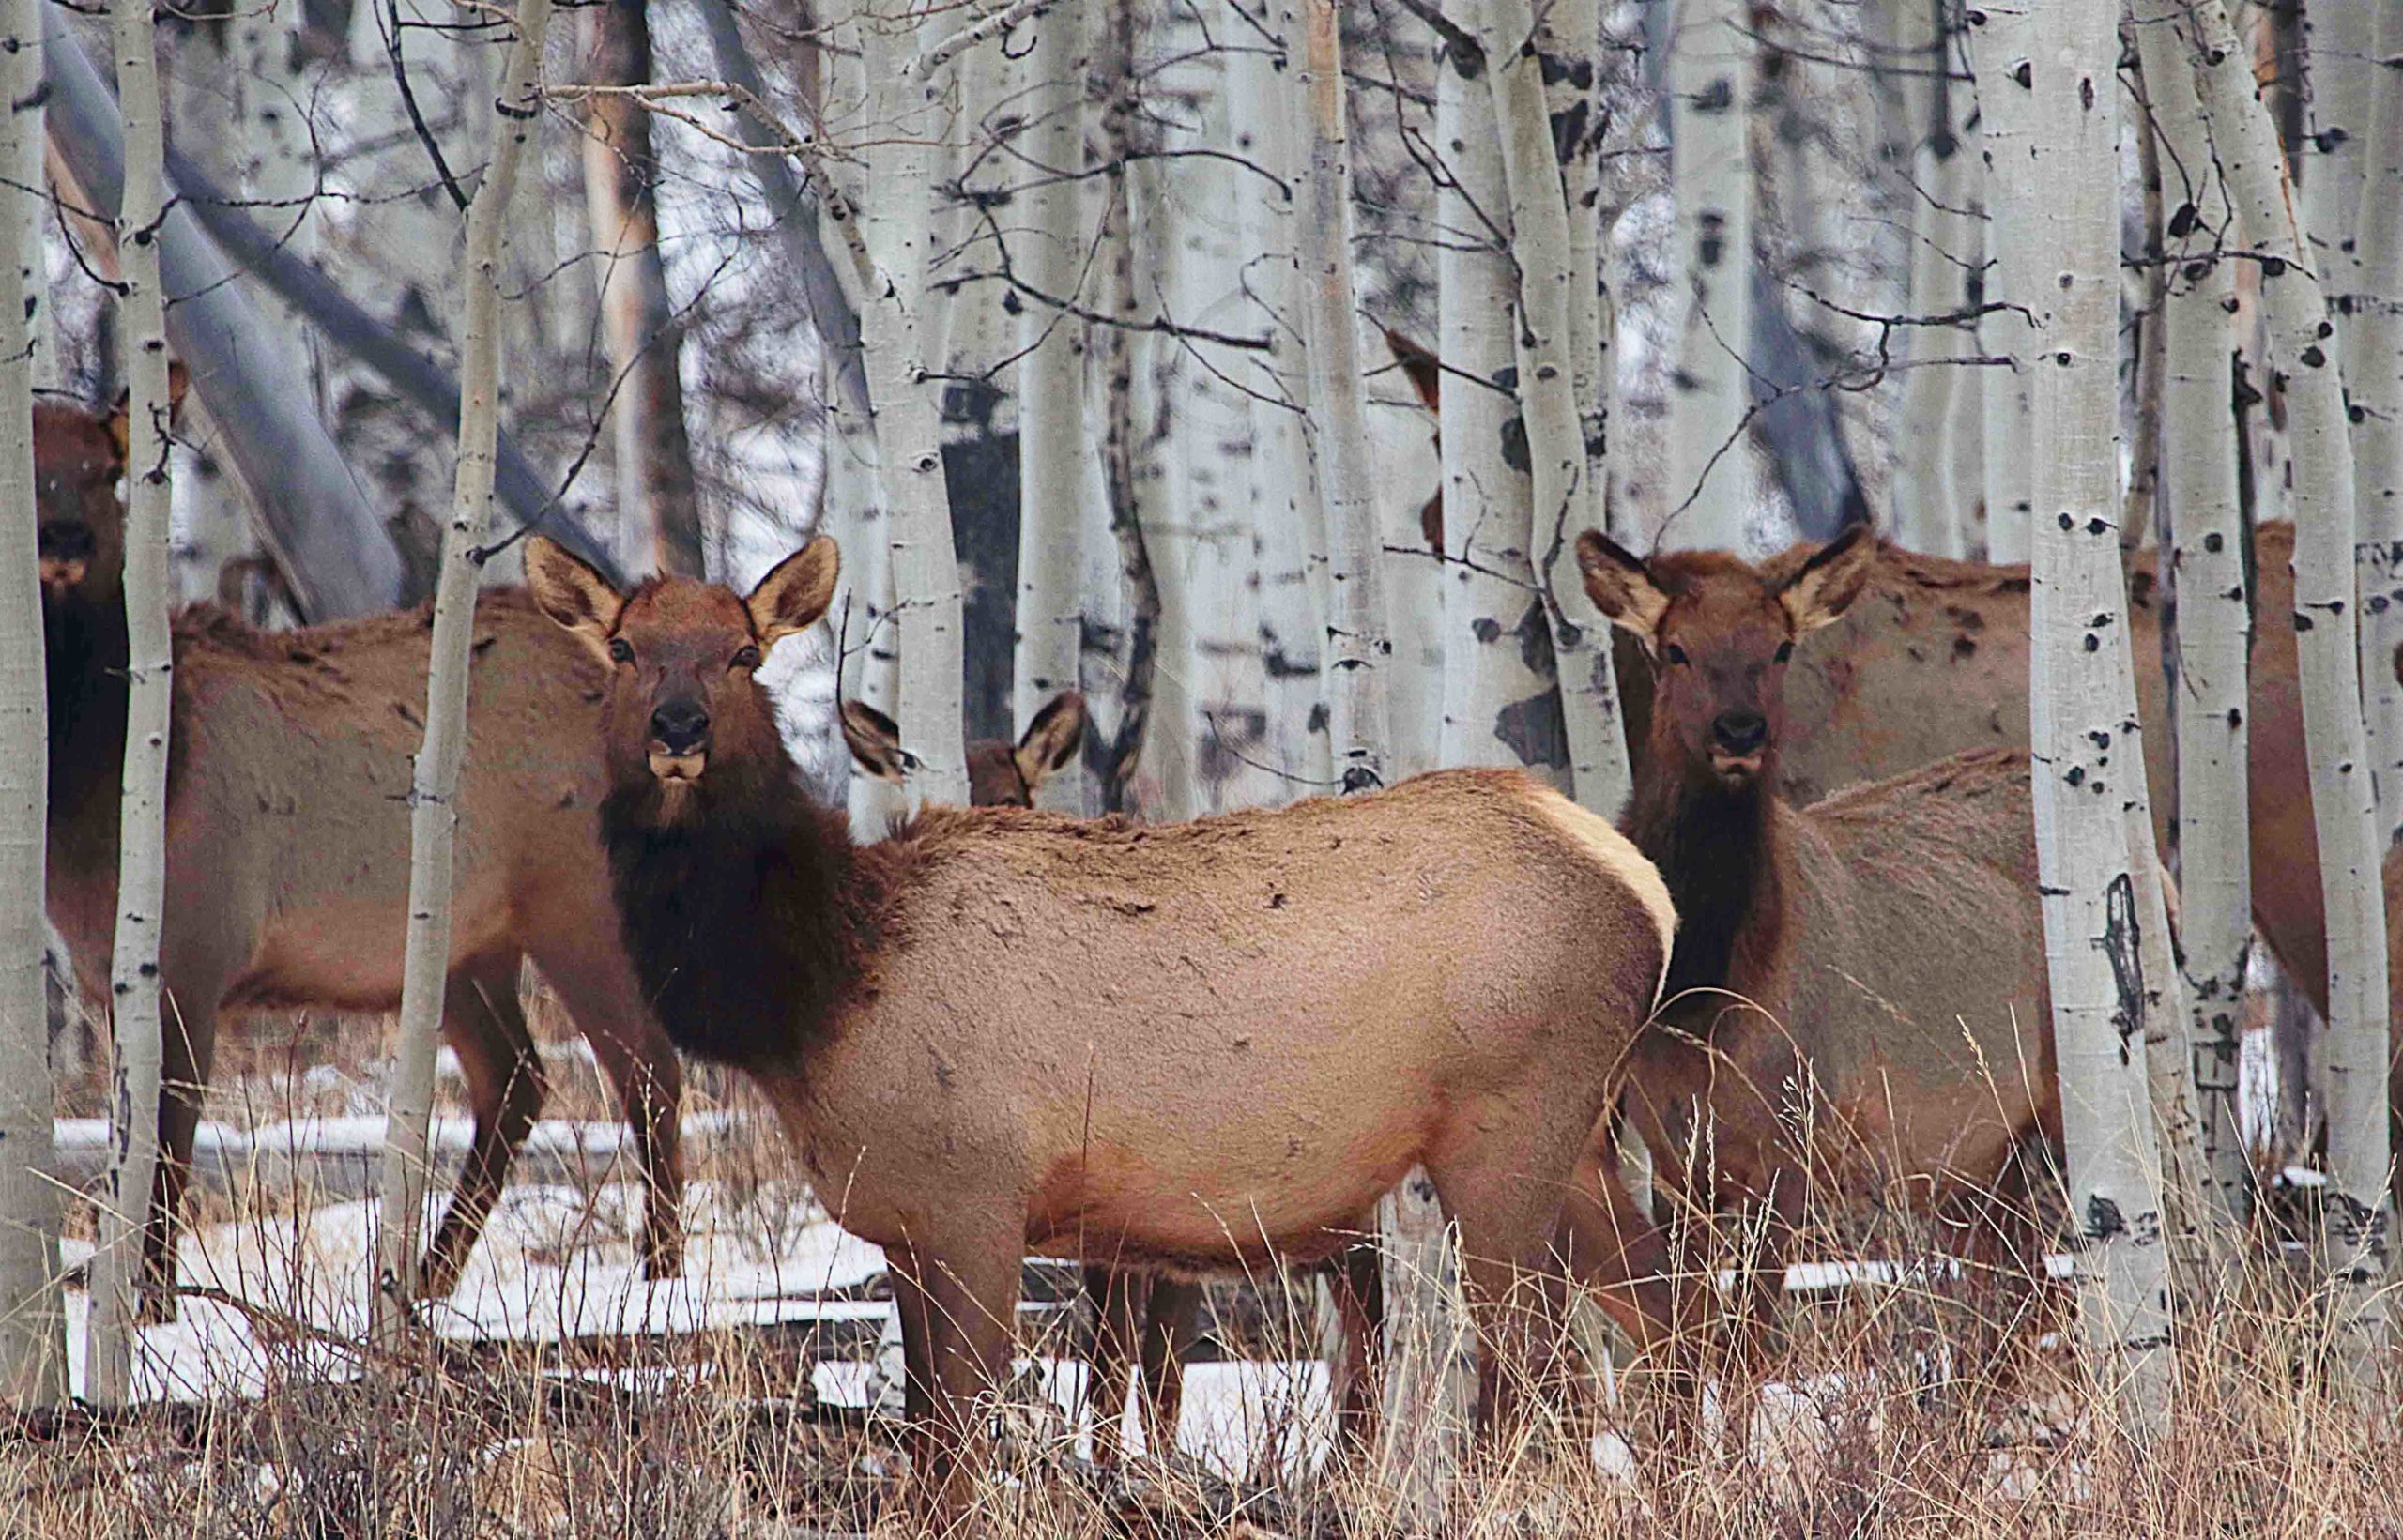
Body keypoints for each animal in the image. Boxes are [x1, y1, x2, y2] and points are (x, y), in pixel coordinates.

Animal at [35, 393, 687, 1306]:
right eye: (28, 469)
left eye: (103, 472)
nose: (63, 541)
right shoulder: (108, 975)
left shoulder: (192, 954)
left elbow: (165, 1147)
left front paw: (152, 1305)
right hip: (464, 944)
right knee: (517, 1076)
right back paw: (427, 1278)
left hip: (578, 906)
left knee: (650, 1070)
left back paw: (657, 1274)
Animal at [533, 533, 1682, 1517]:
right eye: (626, 647)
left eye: (743, 651)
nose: (677, 729)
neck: (816, 994)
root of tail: (1644, 889)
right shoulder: (903, 1219)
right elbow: (927, 1441)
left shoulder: (978, 1197)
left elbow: (962, 1447)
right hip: (1578, 1136)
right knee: (1672, 1304)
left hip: (1509, 1121)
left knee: (1538, 1358)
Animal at [1567, 526, 2057, 1354]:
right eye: (1675, 648)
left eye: (1780, 646)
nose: (1739, 729)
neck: (1705, 999)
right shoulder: (1675, 1161)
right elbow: (1691, 1338)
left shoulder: (1792, 1146)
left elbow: (1749, 1343)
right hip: (1976, 1163)